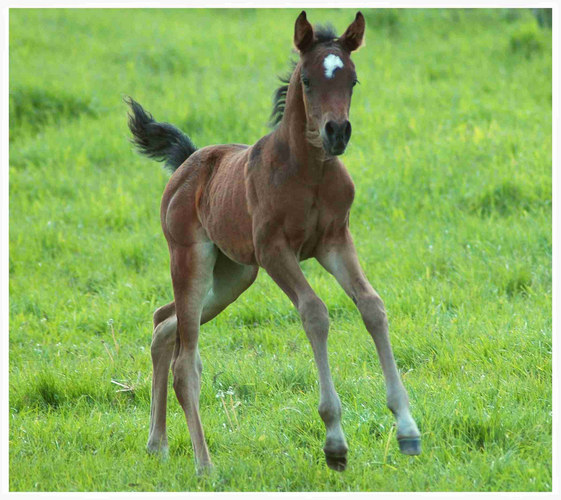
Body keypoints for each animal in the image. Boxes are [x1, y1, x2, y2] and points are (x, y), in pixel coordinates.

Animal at [127, 11, 420, 472]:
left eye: (353, 80)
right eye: (308, 81)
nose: (337, 132)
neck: (309, 172)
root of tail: (189, 161)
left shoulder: (335, 241)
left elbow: (372, 306)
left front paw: (407, 429)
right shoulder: (274, 251)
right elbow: (315, 312)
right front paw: (334, 443)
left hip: (232, 278)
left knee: (163, 325)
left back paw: (157, 443)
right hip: (192, 261)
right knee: (185, 362)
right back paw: (205, 466)